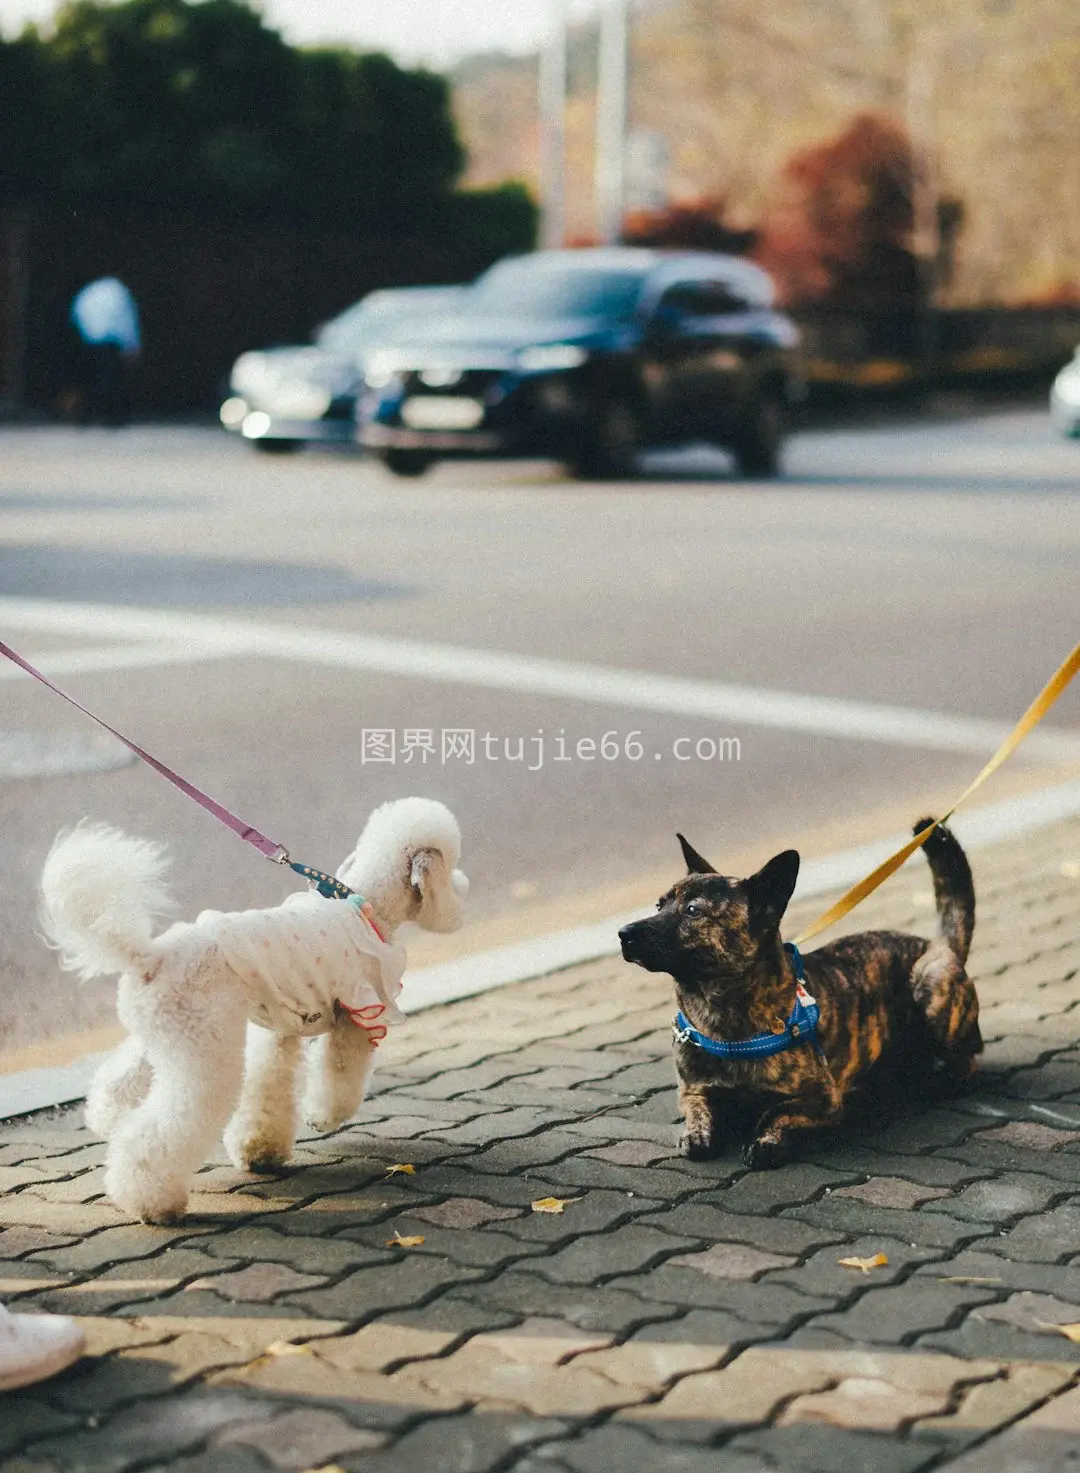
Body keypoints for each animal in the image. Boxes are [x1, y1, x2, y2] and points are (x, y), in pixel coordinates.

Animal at [615, 818, 978, 1172]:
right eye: (659, 905)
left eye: (693, 911)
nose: (623, 933)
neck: (719, 1012)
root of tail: (940, 945)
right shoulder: (693, 1090)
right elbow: (697, 1109)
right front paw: (696, 1134)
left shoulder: (823, 1098)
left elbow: (776, 1110)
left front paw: (765, 1140)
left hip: (932, 986)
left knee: (966, 1060)